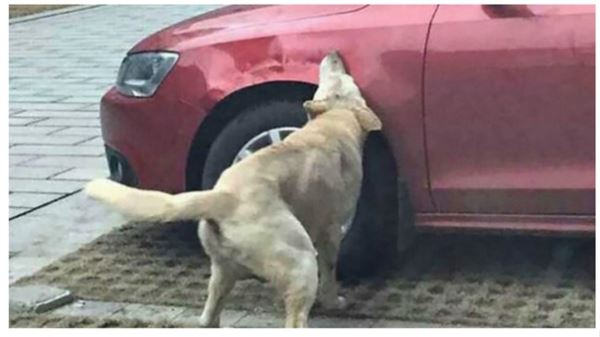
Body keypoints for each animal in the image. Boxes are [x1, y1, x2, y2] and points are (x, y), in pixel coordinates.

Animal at [85, 51, 380, 326]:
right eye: (346, 79)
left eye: (332, 76)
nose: (334, 54)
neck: (335, 120)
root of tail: (223, 196)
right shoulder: (331, 231)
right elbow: (330, 270)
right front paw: (333, 300)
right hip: (300, 260)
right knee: (295, 318)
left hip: (222, 273)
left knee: (209, 317)